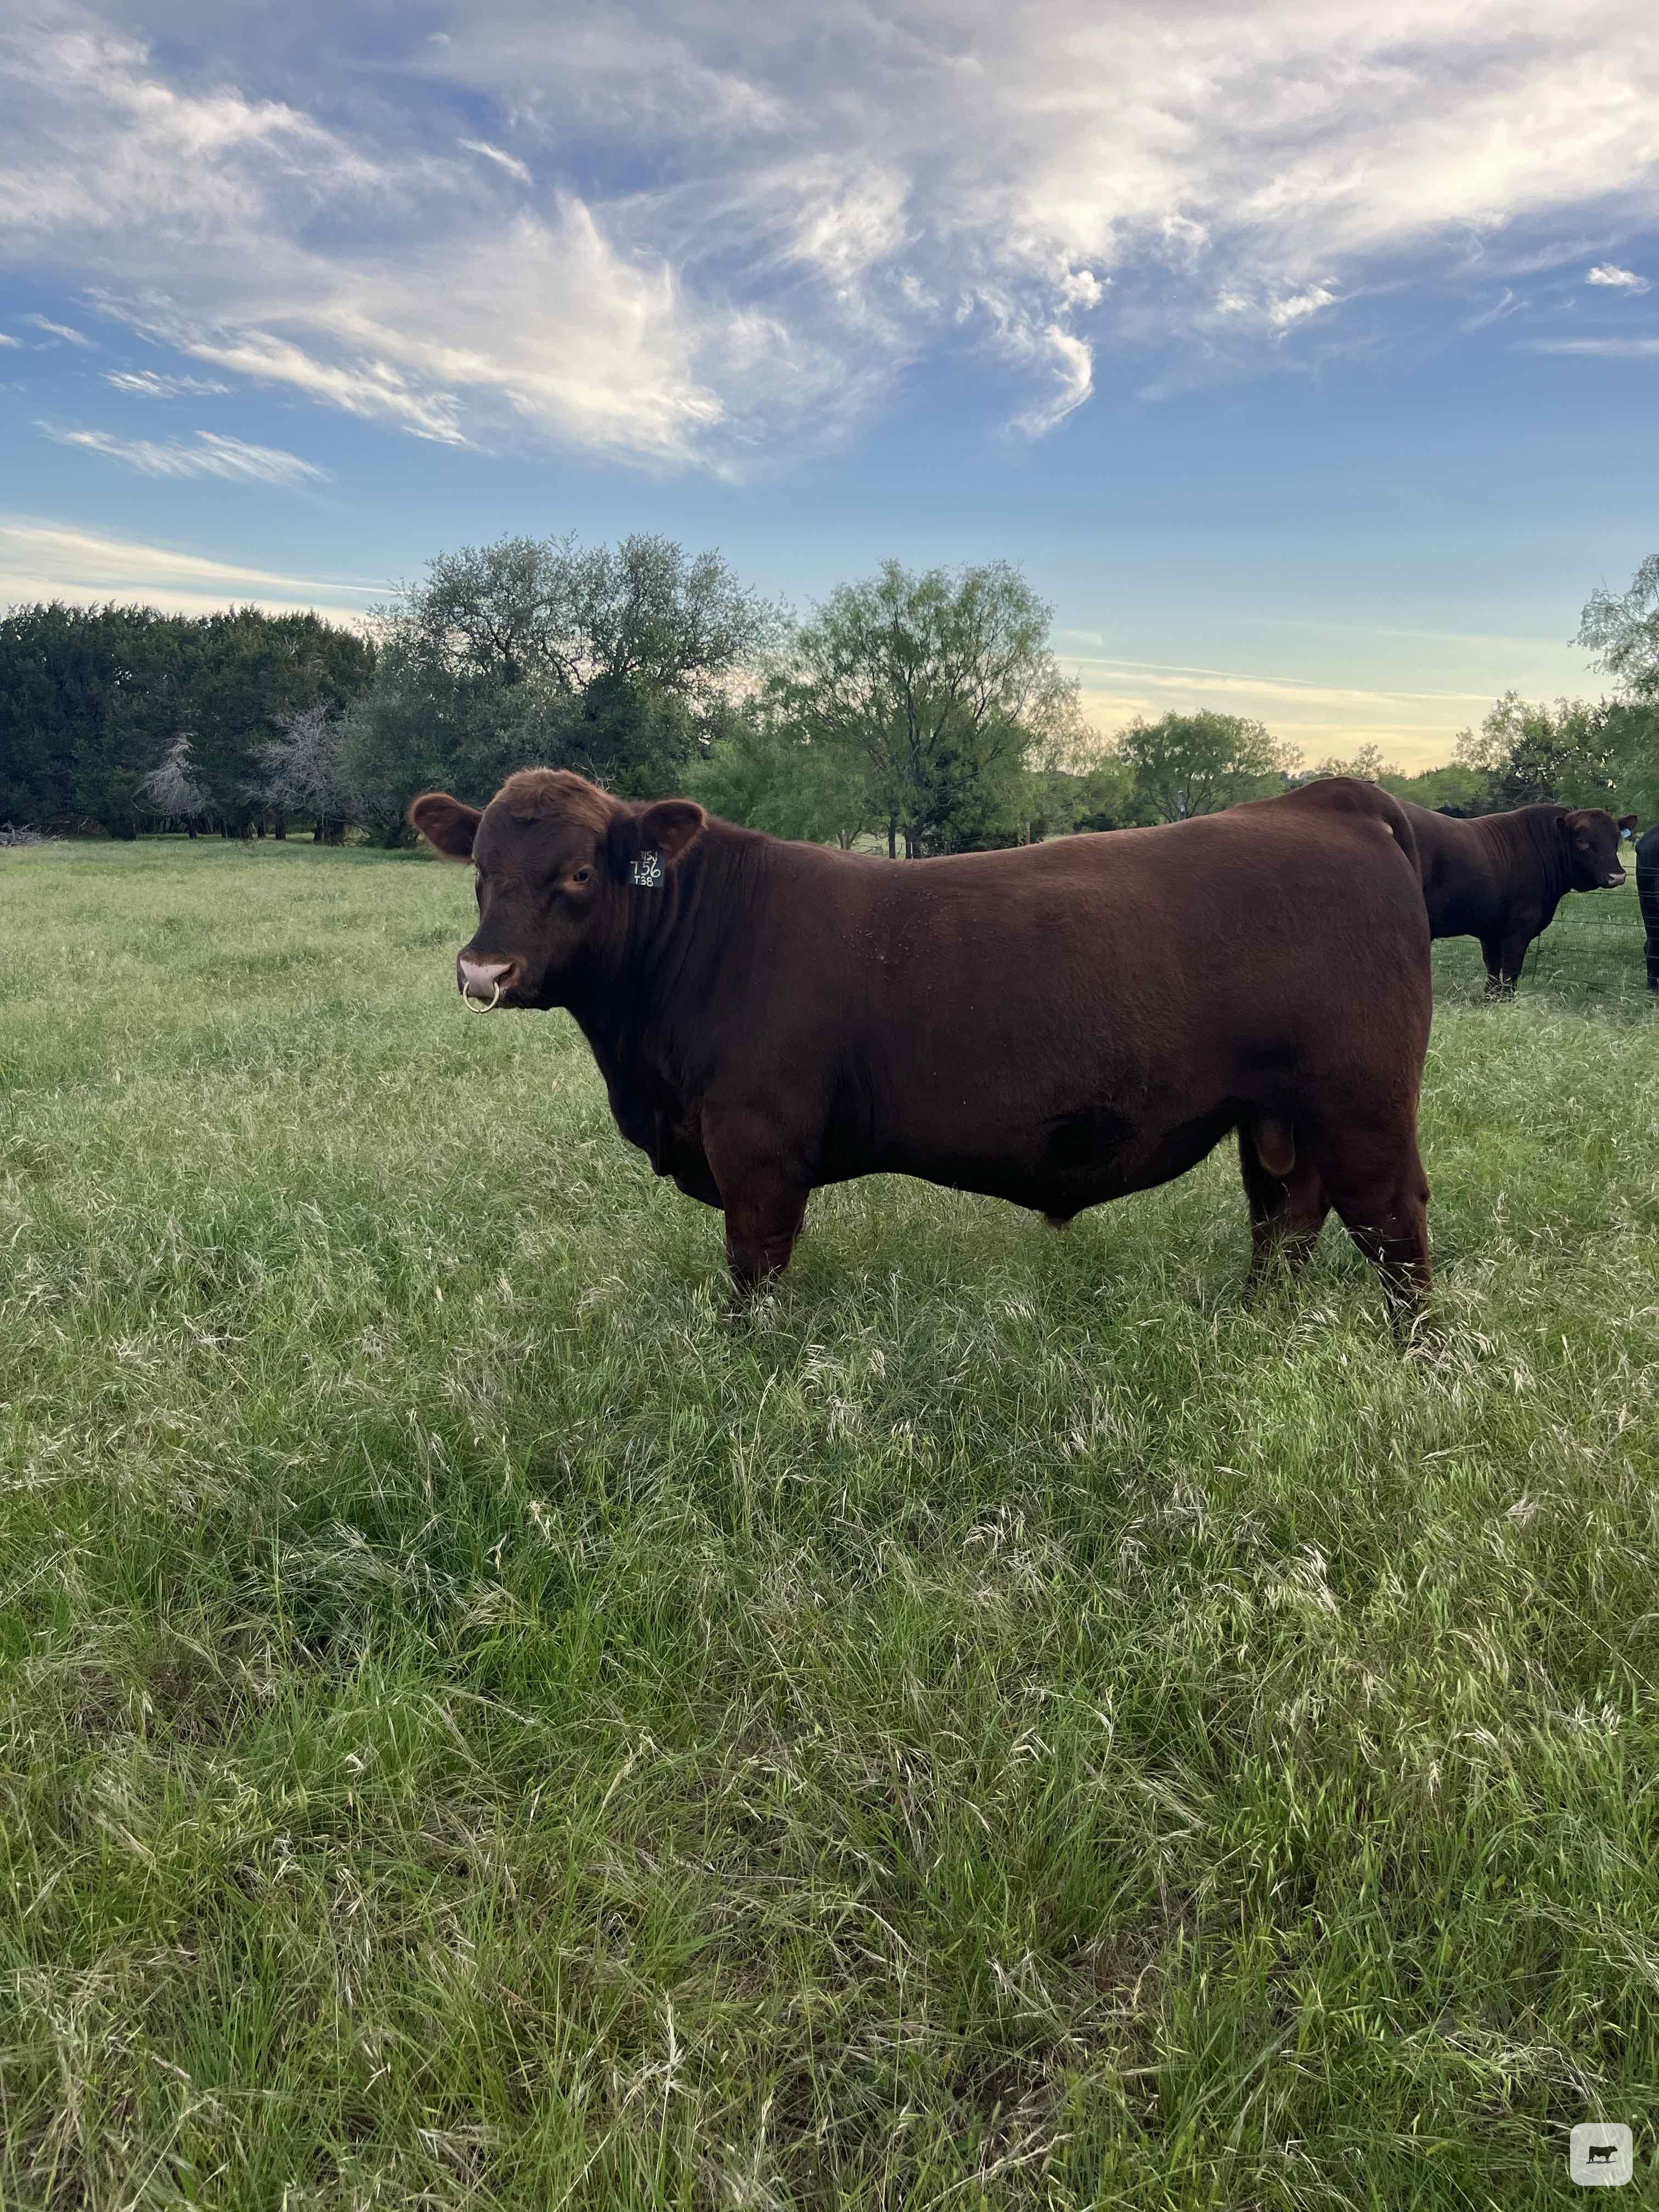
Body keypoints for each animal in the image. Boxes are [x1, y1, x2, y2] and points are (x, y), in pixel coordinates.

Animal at [409, 769, 1434, 1314]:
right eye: (480, 867)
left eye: (580, 873)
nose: (483, 971)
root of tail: (1326, 800)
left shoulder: (757, 1143)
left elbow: (755, 1270)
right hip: (1278, 1117)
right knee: (1286, 1220)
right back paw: (1253, 1326)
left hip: (1362, 1107)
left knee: (1394, 1230)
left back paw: (1416, 1362)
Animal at [1398, 800, 1636, 995]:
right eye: (1583, 842)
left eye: (1616, 839)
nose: (1618, 876)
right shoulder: (1520, 928)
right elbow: (1512, 969)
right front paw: (1507, 1000)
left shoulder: (1490, 929)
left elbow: (1493, 968)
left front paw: (1490, 999)